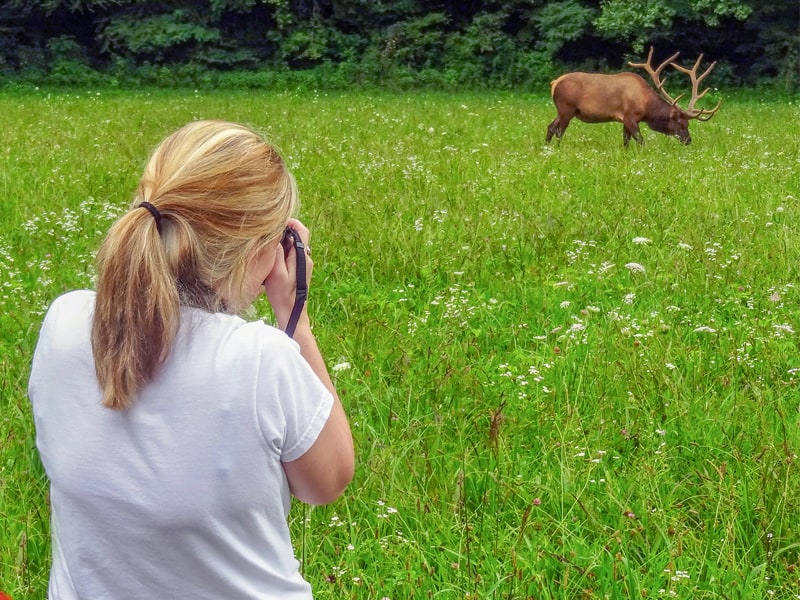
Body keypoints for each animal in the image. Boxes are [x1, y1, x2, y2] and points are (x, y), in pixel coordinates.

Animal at [548, 47, 720, 145]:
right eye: (680, 123)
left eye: (688, 124)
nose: (688, 140)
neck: (647, 108)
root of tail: (555, 82)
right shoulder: (630, 116)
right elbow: (640, 141)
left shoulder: (625, 119)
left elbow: (625, 141)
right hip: (566, 108)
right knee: (559, 131)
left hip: (563, 110)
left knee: (550, 127)